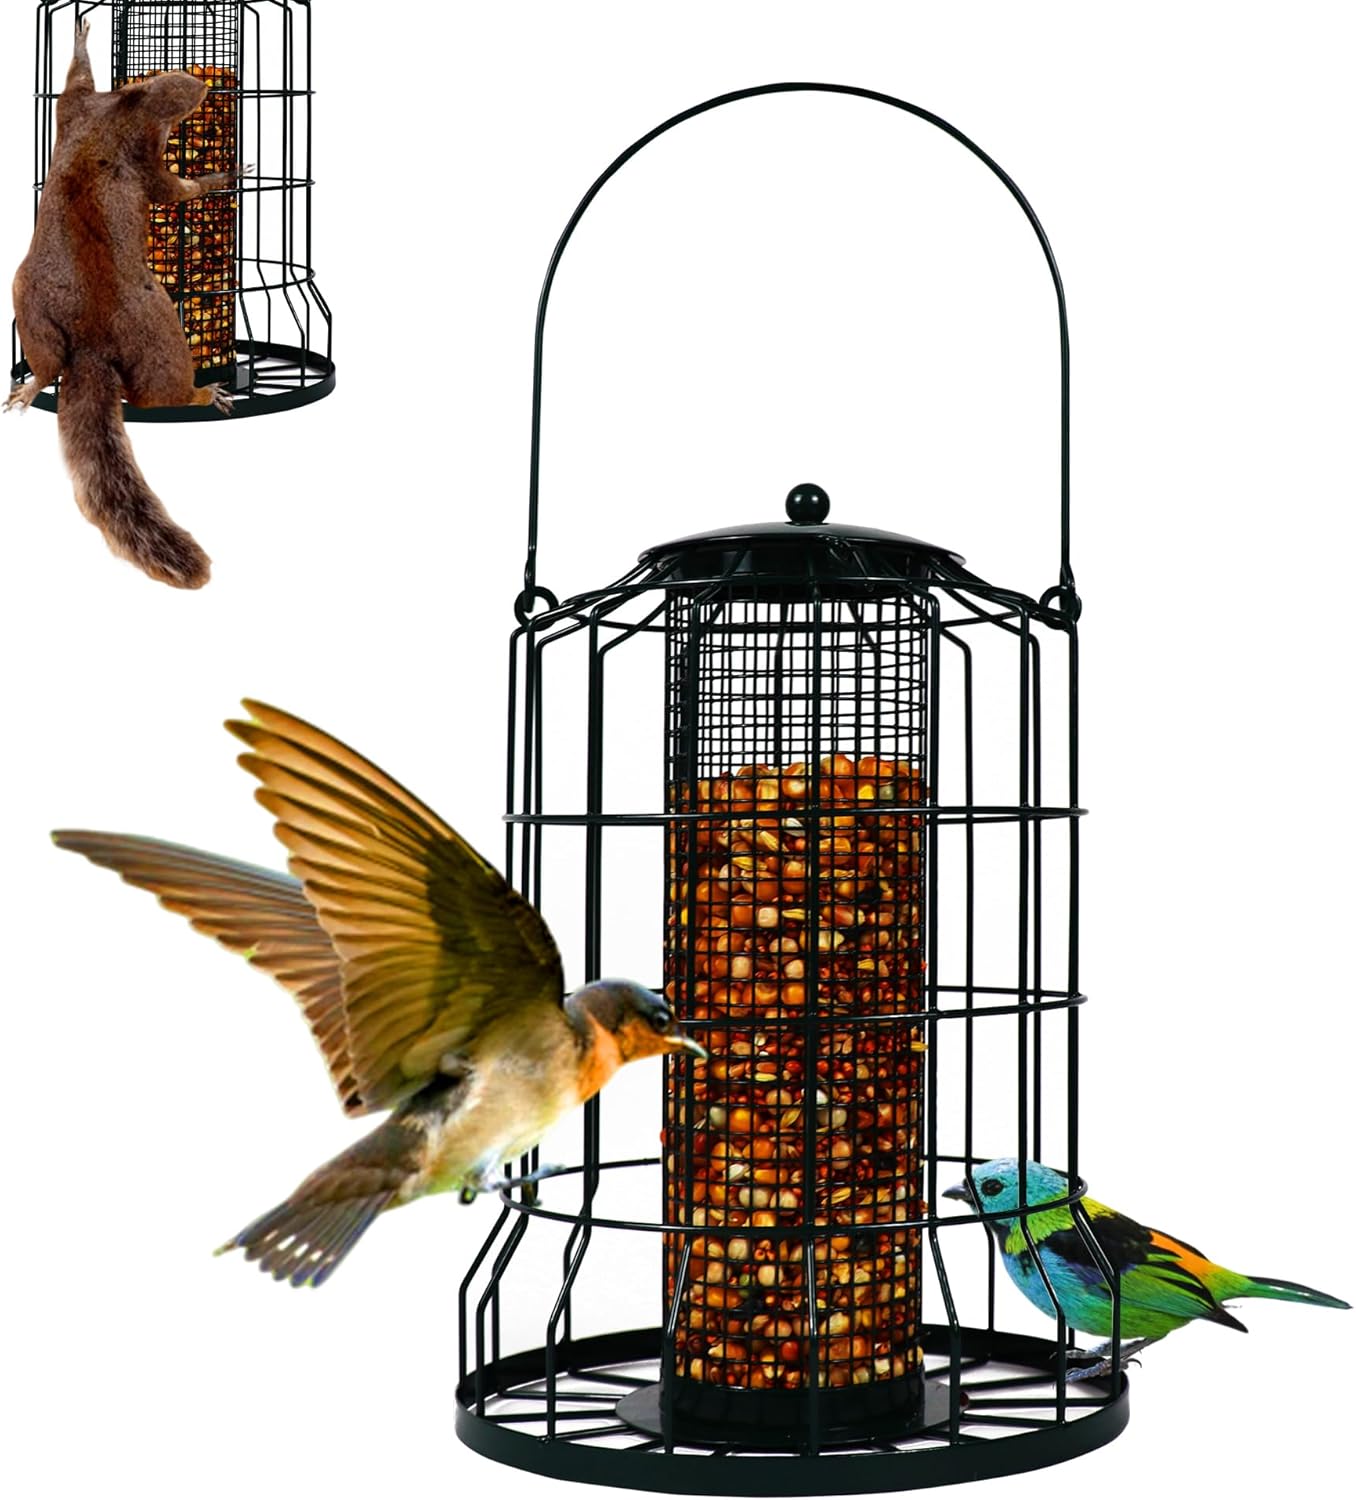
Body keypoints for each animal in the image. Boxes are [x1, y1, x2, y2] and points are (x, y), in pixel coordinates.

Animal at [7, 20, 246, 589]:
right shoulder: (141, 153)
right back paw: (205, 394)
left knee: (46, 361)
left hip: (26, 300)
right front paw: (221, 178)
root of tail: (90, 345)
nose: (202, 84)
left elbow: (74, 81)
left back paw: (31, 386)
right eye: (170, 87)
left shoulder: (77, 110)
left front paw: (79, 37)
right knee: (155, 394)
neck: (120, 113)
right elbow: (174, 190)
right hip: (158, 328)